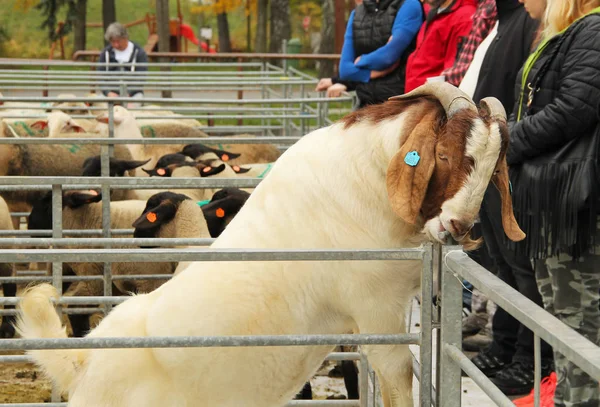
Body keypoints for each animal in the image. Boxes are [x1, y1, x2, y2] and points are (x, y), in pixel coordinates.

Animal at [14, 83, 524, 407]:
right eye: (444, 154)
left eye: (494, 166)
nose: (459, 225)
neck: (362, 178)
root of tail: (82, 360)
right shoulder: (374, 304)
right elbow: (396, 378)